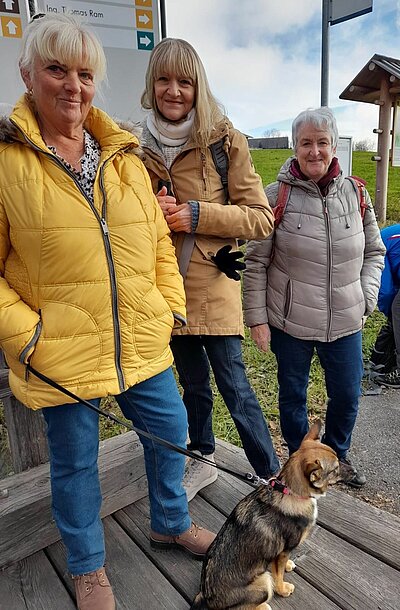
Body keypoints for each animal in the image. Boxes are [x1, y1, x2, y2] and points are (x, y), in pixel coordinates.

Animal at [190, 418, 338, 608]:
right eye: (335, 470)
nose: (354, 472)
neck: (289, 492)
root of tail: (207, 597)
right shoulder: (285, 550)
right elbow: (279, 576)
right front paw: (283, 589)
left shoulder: (281, 554)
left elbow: (280, 566)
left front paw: (288, 565)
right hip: (264, 583)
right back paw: (263, 606)